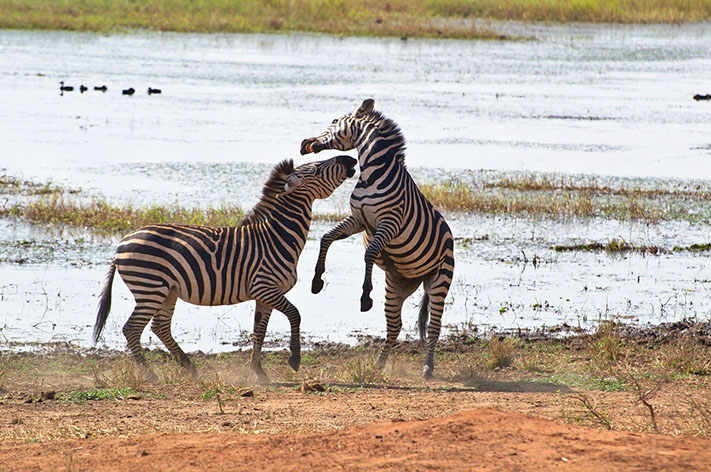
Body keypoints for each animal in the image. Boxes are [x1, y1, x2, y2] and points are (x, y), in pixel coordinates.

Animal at [94, 156, 358, 384]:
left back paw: (188, 367)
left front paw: (258, 371)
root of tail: (122, 243)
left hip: (167, 291)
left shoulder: (264, 295)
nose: (350, 159)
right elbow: (295, 314)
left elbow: (259, 332)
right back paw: (150, 374)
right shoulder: (264, 288)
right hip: (150, 287)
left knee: (159, 327)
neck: (276, 236)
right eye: (316, 168)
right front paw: (294, 359)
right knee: (132, 329)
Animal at [300, 99, 456, 380]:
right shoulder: (358, 220)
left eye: (334, 121)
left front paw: (365, 295)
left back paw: (428, 368)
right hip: (396, 286)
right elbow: (326, 238)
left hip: (439, 280)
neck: (372, 174)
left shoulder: (389, 223)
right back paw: (378, 366)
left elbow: (369, 254)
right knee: (394, 326)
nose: (305, 143)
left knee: (435, 326)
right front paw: (317, 281)